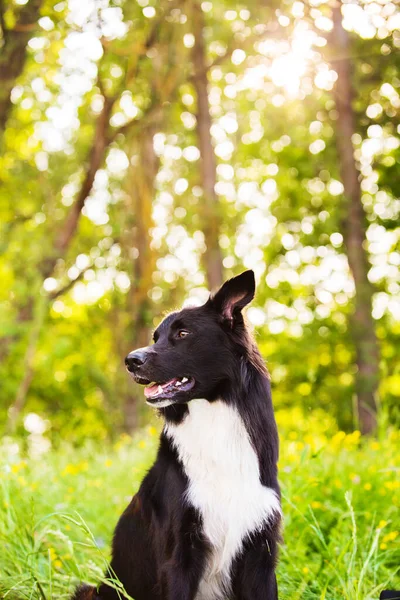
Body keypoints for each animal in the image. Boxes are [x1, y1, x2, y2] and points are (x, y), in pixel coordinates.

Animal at [74, 272, 282, 600]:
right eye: (155, 337)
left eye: (183, 333)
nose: (130, 360)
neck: (213, 420)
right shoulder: (178, 554)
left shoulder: (259, 552)